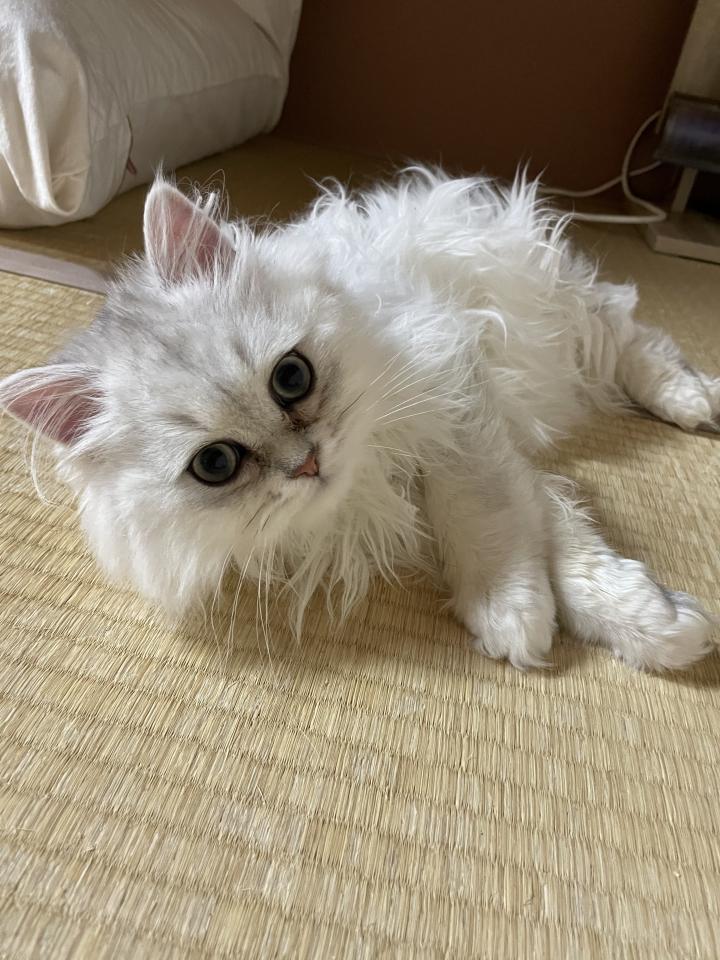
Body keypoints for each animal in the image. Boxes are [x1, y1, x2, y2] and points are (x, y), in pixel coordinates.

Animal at [1, 169, 718, 671]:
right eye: (216, 464)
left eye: (291, 378)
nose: (307, 462)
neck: (374, 464)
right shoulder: (482, 451)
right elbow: (553, 532)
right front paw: (629, 621)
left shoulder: (457, 402)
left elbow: (488, 517)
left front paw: (523, 606)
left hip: (562, 316)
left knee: (636, 335)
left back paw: (692, 401)